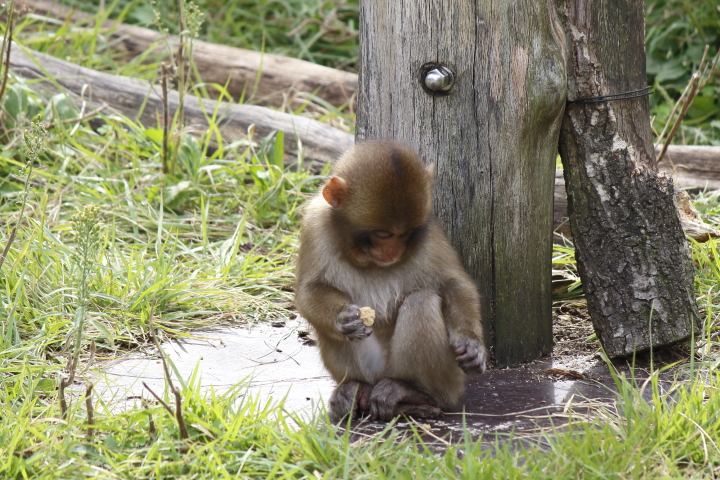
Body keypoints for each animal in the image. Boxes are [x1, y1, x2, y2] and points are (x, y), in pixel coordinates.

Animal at [296, 139, 486, 420]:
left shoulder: (430, 230)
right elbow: (309, 291)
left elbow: (454, 284)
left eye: (405, 234)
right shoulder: (315, 224)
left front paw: (471, 343)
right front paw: (344, 318)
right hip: (371, 369)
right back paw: (355, 388)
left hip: (449, 382)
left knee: (421, 300)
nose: (392, 251)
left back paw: (414, 392)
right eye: (382, 233)